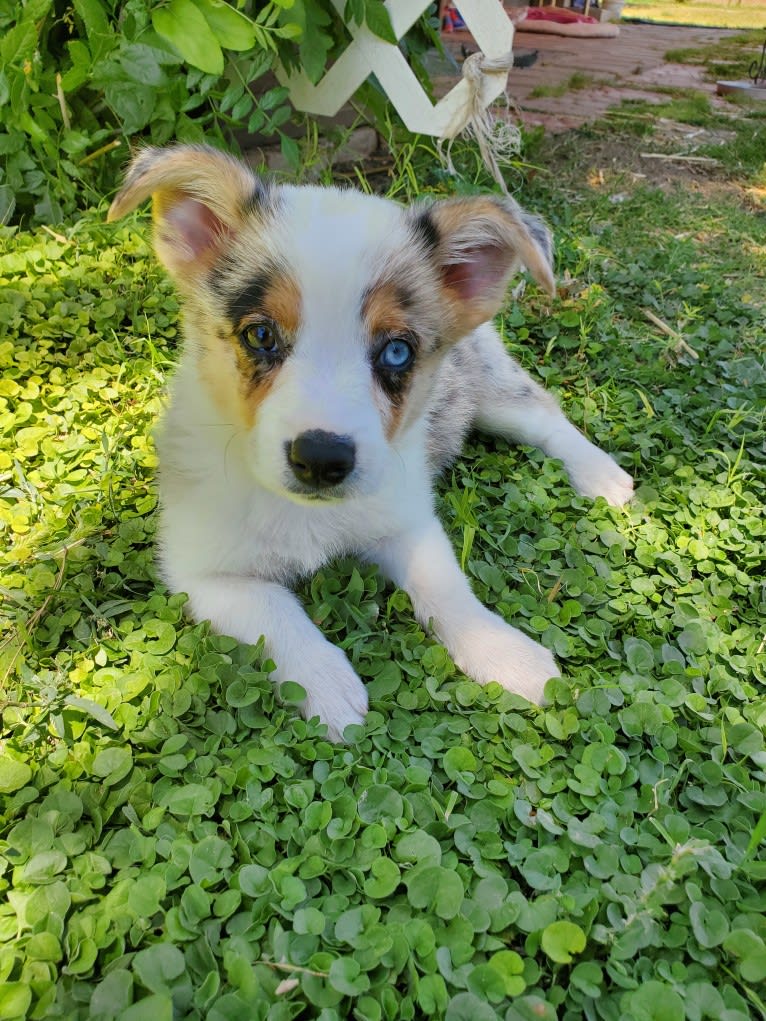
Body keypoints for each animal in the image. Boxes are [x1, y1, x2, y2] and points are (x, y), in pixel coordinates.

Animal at [109, 143, 637, 739]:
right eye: (260, 335)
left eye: (397, 351)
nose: (321, 458)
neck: (306, 513)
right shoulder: (203, 572)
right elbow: (274, 611)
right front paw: (327, 685)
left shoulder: (406, 519)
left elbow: (447, 589)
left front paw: (505, 651)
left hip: (489, 386)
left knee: (544, 414)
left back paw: (601, 475)